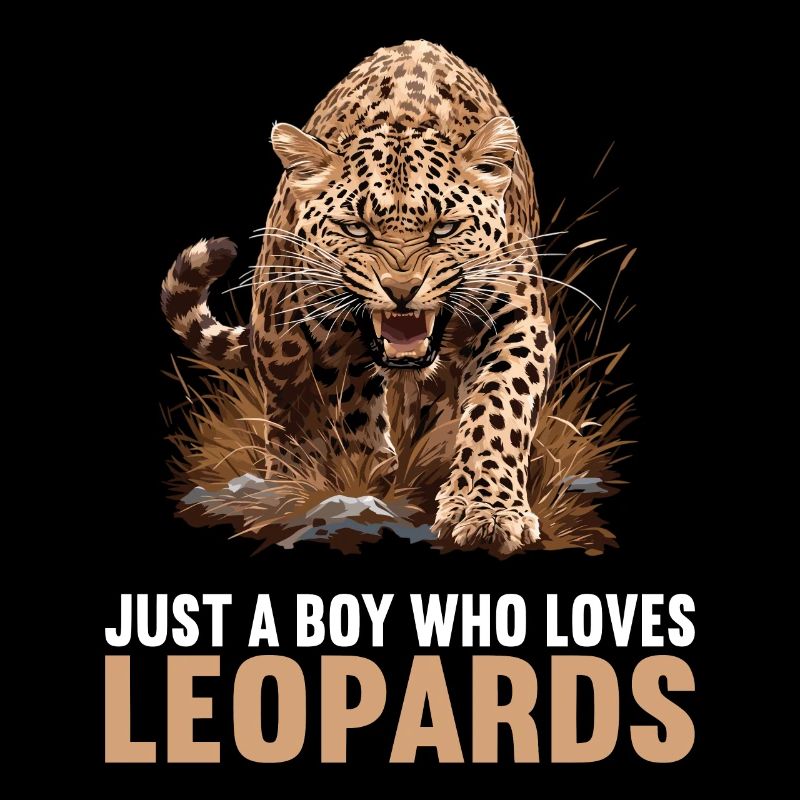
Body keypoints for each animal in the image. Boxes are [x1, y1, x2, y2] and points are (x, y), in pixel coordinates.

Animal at [161, 40, 557, 555]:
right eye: (355, 228)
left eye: (445, 228)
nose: (402, 289)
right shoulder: (328, 338)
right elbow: (348, 407)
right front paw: (362, 480)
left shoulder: (517, 318)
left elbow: (498, 407)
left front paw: (486, 510)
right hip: (277, 327)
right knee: (288, 403)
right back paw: (290, 478)